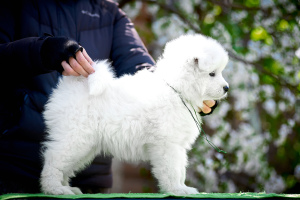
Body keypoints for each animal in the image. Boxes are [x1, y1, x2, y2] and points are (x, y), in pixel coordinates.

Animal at [39, 34, 229, 195]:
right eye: (212, 73)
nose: (226, 88)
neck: (176, 89)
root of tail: (73, 84)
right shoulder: (167, 144)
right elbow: (172, 169)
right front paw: (177, 189)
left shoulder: (177, 145)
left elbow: (180, 168)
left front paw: (182, 187)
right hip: (75, 136)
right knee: (54, 160)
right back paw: (55, 189)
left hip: (86, 145)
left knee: (66, 166)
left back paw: (68, 188)